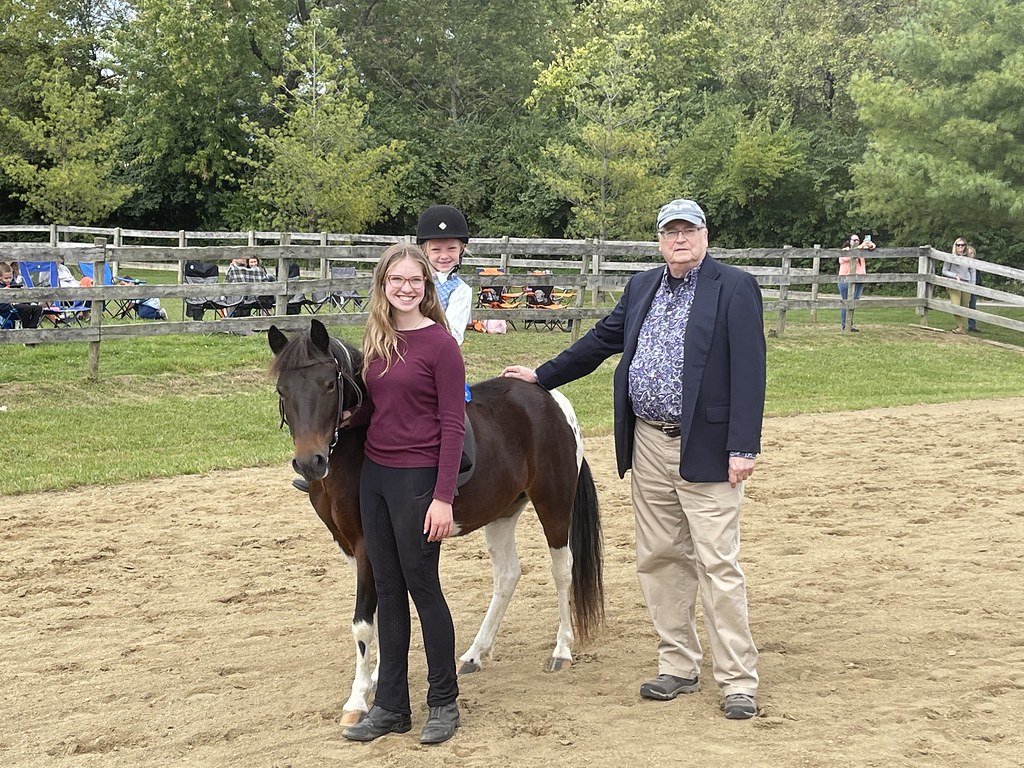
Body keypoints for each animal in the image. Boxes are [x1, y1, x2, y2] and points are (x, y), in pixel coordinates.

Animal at [268, 319, 604, 725]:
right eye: (282, 389)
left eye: (330, 384)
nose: (309, 462)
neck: (357, 452)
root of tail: (550, 398)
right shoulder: (349, 544)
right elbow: (377, 610)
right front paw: (377, 675)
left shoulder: (367, 543)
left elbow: (362, 622)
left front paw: (357, 699)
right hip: (502, 513)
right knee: (508, 575)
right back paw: (475, 653)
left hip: (553, 505)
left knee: (562, 570)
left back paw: (561, 650)